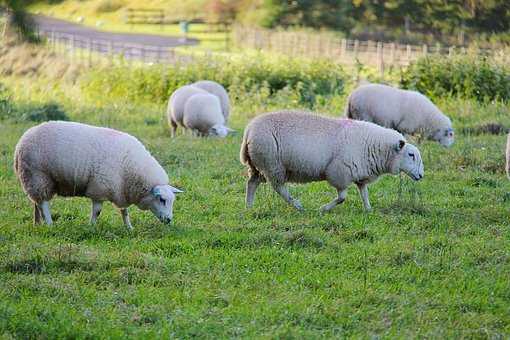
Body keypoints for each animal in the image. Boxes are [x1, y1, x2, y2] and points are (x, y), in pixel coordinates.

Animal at [13, 121, 185, 230]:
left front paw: (129, 227)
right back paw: (49, 224)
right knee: (43, 204)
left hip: (34, 180)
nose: (169, 220)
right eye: (162, 199)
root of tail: (21, 141)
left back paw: (37, 223)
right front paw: (92, 227)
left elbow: (124, 211)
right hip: (38, 176)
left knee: (36, 202)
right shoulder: (99, 189)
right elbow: (97, 211)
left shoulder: (120, 190)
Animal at [241, 111, 424, 211]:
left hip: (258, 165)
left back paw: (249, 206)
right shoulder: (339, 173)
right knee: (279, 188)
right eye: (411, 155)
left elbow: (364, 193)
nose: (421, 175)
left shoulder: (360, 175)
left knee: (252, 183)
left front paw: (368, 209)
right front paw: (323, 209)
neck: (375, 147)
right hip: (273, 164)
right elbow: (342, 197)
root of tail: (249, 129)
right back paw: (297, 205)